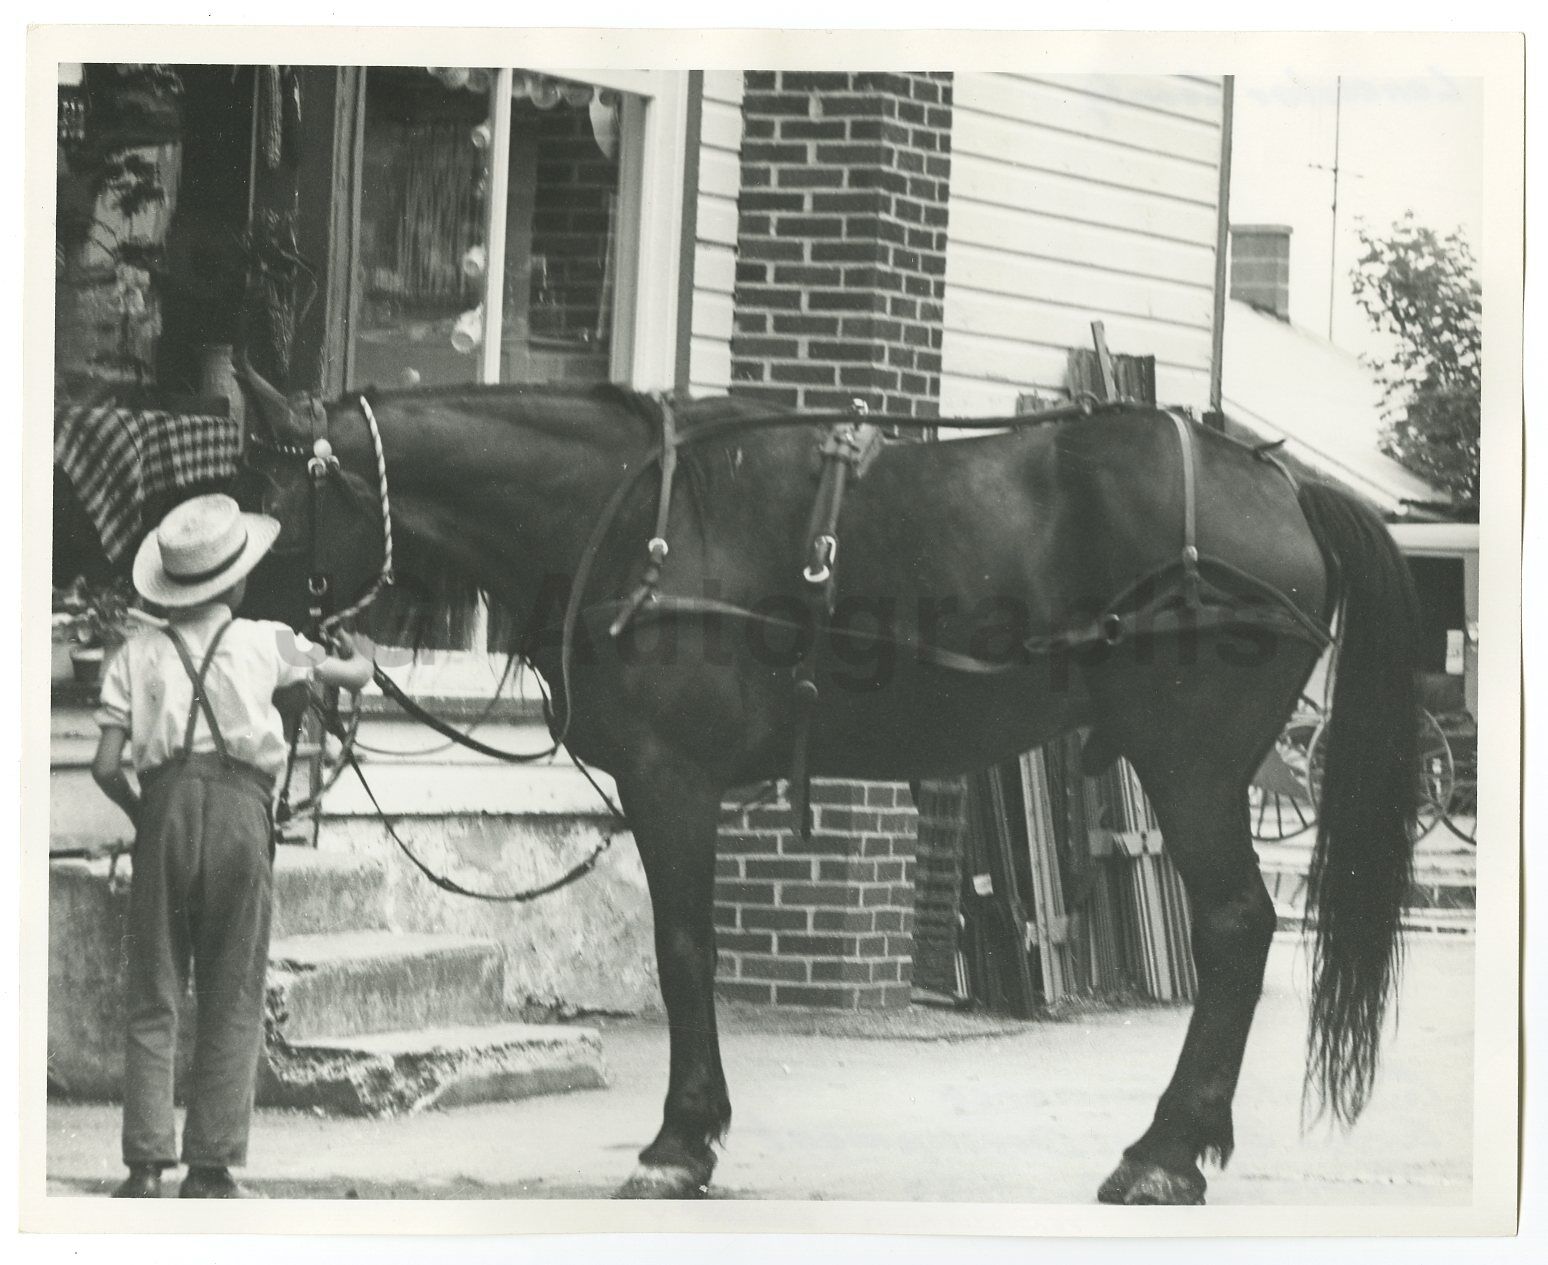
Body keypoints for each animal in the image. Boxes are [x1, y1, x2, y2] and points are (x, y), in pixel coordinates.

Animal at [238, 366, 1417, 1201]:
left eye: (268, 498)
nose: (224, 631)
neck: (627, 517)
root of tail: (1283, 485)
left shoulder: (673, 782)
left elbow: (684, 951)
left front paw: (680, 1138)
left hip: (1191, 765)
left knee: (1236, 927)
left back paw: (1163, 1150)